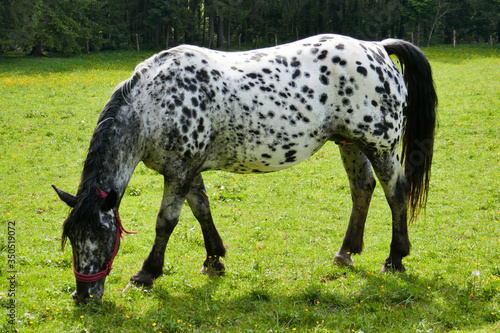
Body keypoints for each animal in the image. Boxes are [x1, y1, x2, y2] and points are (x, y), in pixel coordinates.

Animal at [52, 33, 438, 304]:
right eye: (72, 238)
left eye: (103, 237)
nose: (84, 296)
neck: (153, 104)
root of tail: (378, 49)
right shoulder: (187, 170)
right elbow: (202, 209)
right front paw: (214, 260)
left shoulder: (179, 171)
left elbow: (166, 222)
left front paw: (146, 274)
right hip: (351, 144)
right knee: (363, 189)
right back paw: (346, 253)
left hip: (380, 146)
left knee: (396, 191)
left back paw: (395, 258)